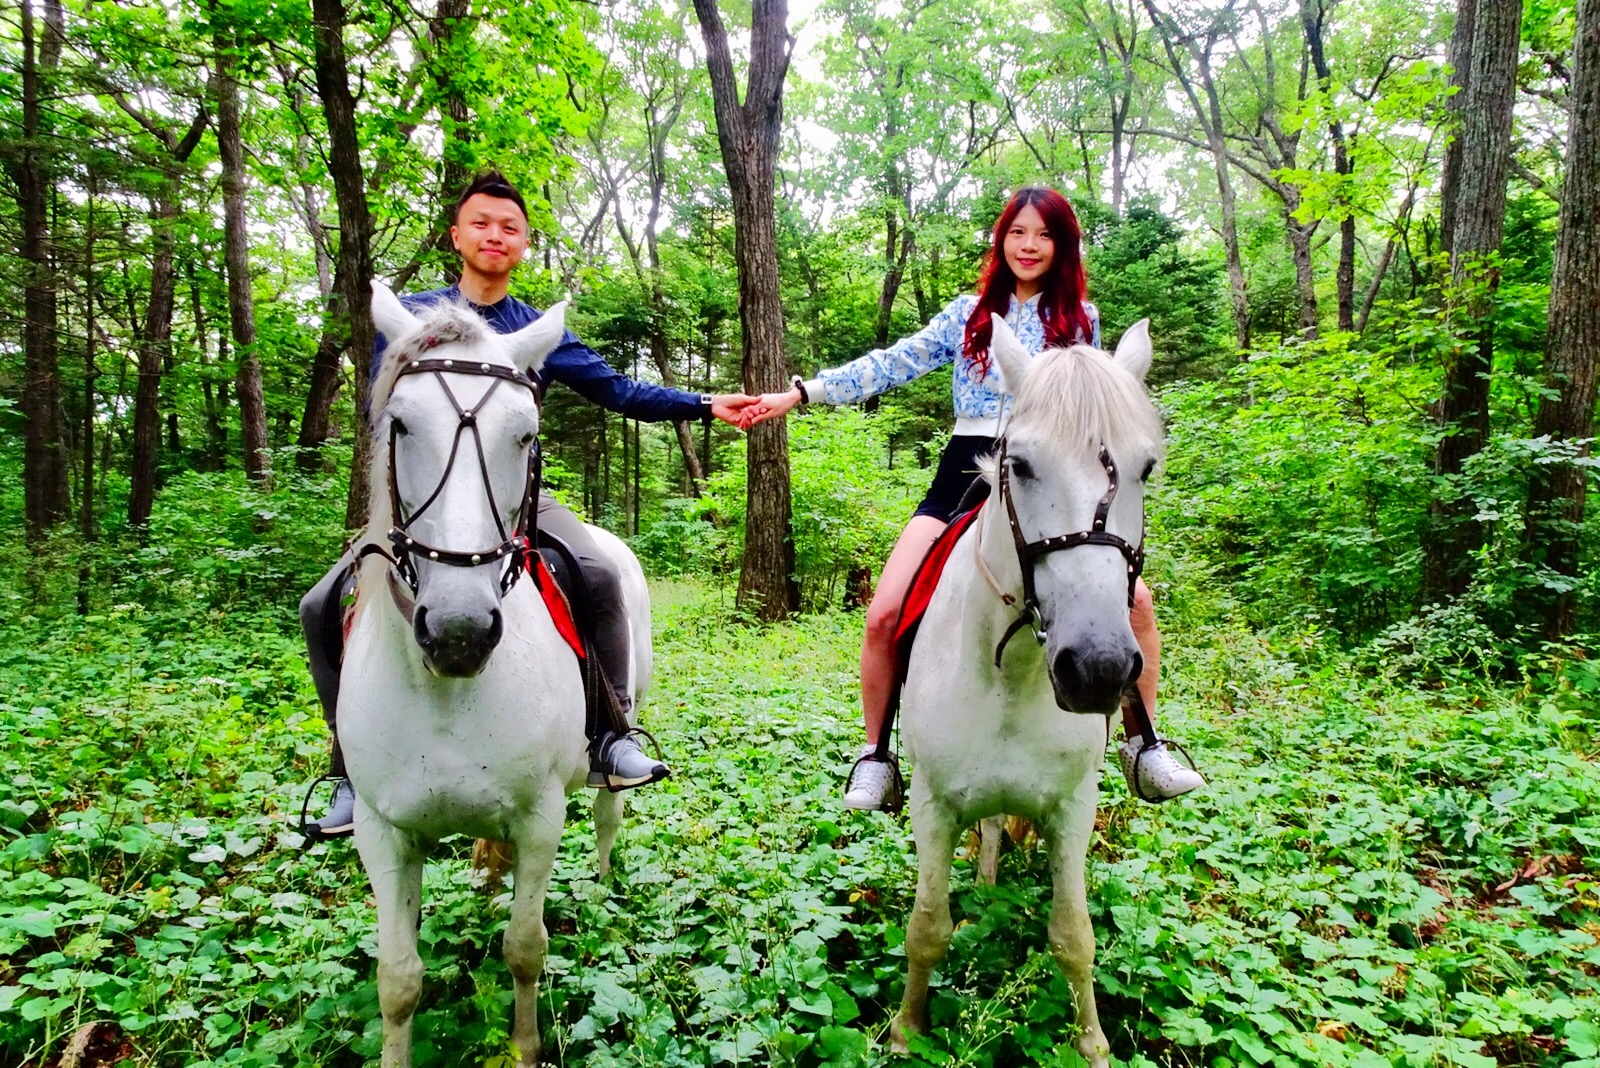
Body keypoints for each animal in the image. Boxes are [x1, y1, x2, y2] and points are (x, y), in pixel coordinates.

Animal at [338, 281, 648, 1068]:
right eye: (400, 425)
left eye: (525, 434)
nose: (459, 632)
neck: (448, 691)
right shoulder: (382, 831)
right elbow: (398, 979)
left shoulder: (541, 818)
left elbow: (524, 949)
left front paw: (524, 1045)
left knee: (610, 812)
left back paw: (602, 884)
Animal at [890, 315, 1160, 1067]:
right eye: (1021, 466)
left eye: (1146, 468)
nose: (1098, 666)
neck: (1010, 675)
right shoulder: (932, 805)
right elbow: (927, 928)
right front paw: (906, 1032)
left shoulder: (1073, 809)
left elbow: (1074, 936)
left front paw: (1092, 1043)